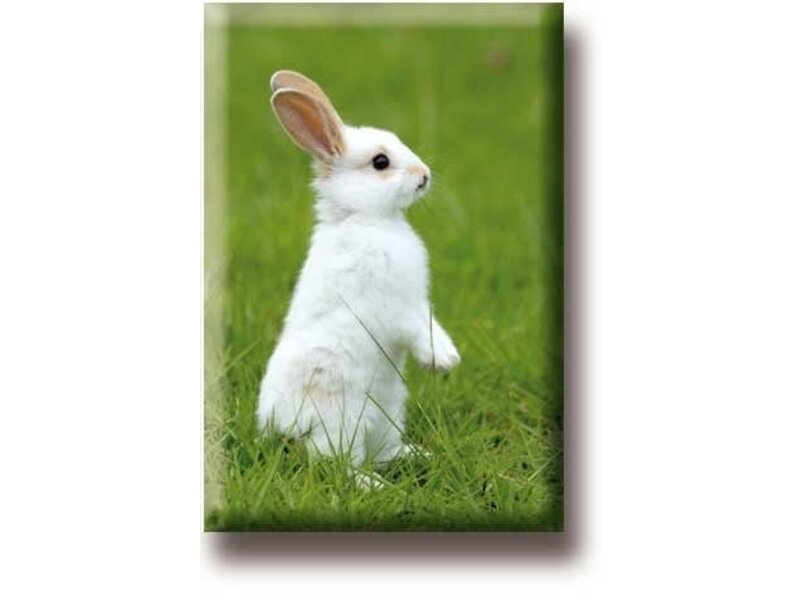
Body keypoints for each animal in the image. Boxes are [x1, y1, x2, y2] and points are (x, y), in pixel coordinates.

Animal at [257, 70, 460, 486]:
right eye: (380, 162)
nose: (424, 175)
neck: (367, 220)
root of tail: (279, 424)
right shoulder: (393, 307)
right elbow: (415, 329)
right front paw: (441, 362)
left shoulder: (417, 301)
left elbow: (431, 322)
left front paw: (448, 356)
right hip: (340, 419)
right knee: (333, 462)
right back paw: (372, 486)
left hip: (389, 411)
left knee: (378, 451)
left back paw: (416, 456)